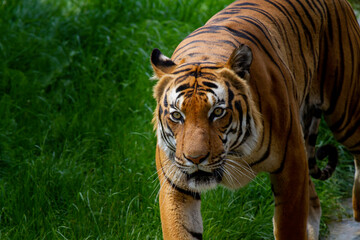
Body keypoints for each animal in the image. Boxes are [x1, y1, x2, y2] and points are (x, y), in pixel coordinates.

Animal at [150, 0, 360, 239]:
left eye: (217, 112)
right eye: (177, 115)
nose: (195, 159)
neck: (235, 152)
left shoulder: (291, 167)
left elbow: (289, 226)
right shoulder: (175, 184)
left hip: (346, 113)